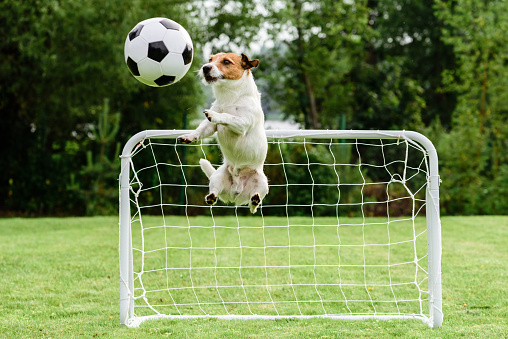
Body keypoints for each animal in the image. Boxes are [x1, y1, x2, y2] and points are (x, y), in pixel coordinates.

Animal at [177, 52, 268, 212]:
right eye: (210, 59)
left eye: (226, 62)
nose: (205, 67)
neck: (229, 97)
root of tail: (236, 195)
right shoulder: (209, 127)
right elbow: (200, 129)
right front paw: (189, 136)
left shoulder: (242, 123)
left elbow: (227, 116)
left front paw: (215, 115)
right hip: (217, 177)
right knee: (215, 191)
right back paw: (211, 197)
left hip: (263, 183)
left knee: (254, 205)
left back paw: (255, 200)